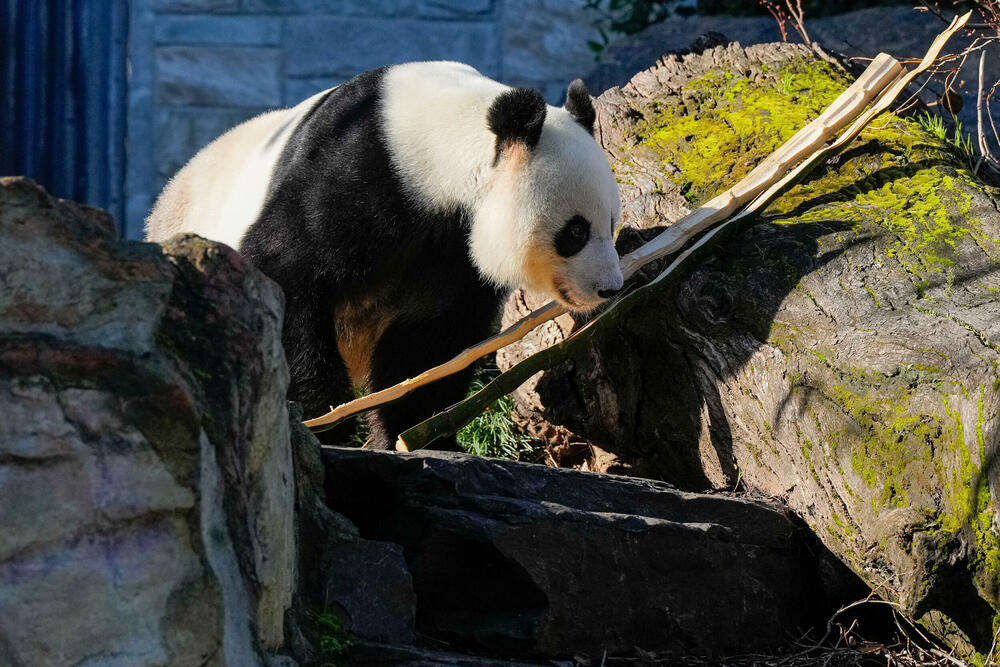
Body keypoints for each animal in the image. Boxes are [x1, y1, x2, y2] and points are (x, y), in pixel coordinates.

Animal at [146, 62, 620, 452]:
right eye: (575, 231)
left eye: (612, 223)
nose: (609, 289)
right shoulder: (356, 172)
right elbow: (286, 272)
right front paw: (325, 422)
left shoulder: (452, 252)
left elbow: (431, 336)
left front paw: (415, 431)